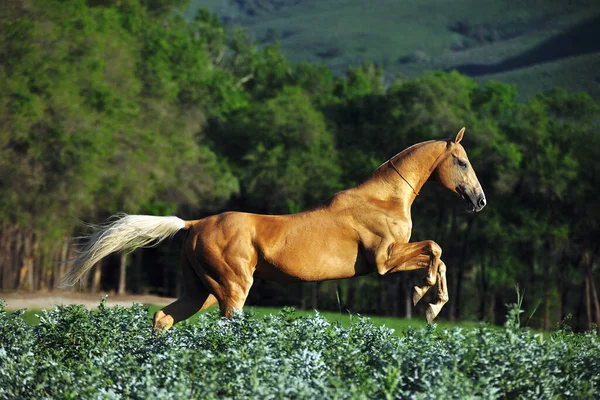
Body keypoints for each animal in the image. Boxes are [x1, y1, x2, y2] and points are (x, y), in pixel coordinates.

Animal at [63, 128, 488, 332]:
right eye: (462, 162)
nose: (479, 200)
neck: (383, 200)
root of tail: (194, 225)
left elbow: (438, 255)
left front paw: (430, 304)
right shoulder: (384, 261)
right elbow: (435, 249)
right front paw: (426, 297)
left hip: (201, 291)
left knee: (163, 318)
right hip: (232, 290)